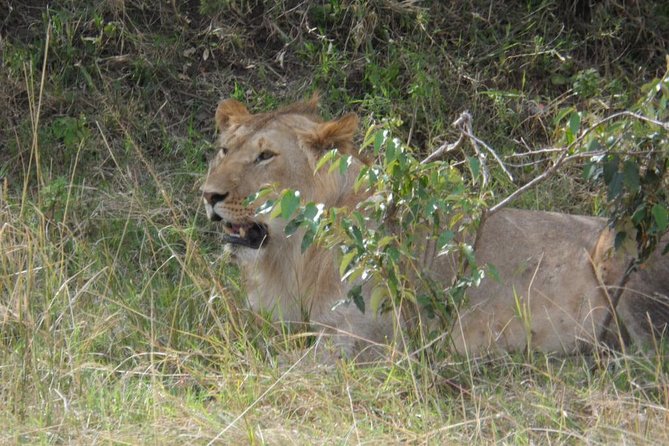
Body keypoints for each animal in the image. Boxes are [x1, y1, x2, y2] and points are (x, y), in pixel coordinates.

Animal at [202, 95, 668, 358]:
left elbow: (274, 366)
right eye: (224, 150)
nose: (208, 195)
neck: (292, 252)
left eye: (265, 156)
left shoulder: (367, 338)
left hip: (621, 249)